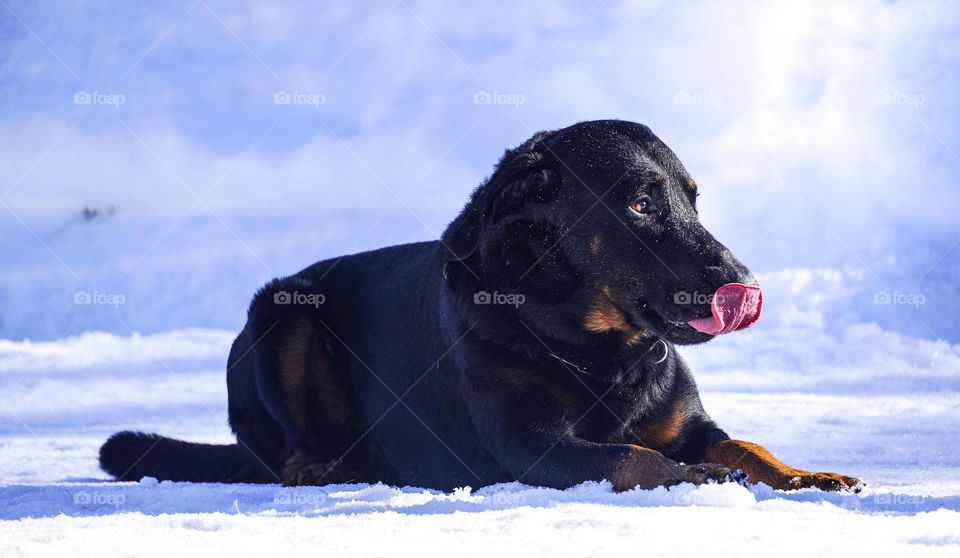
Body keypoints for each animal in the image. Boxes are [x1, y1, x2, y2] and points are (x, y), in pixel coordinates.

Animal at [99, 119, 864, 494]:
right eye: (641, 205)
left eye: (692, 199)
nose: (743, 280)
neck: (599, 354)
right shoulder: (533, 447)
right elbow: (632, 457)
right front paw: (695, 478)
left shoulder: (690, 423)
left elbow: (746, 444)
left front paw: (807, 475)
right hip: (281, 314)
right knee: (283, 452)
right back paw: (321, 466)